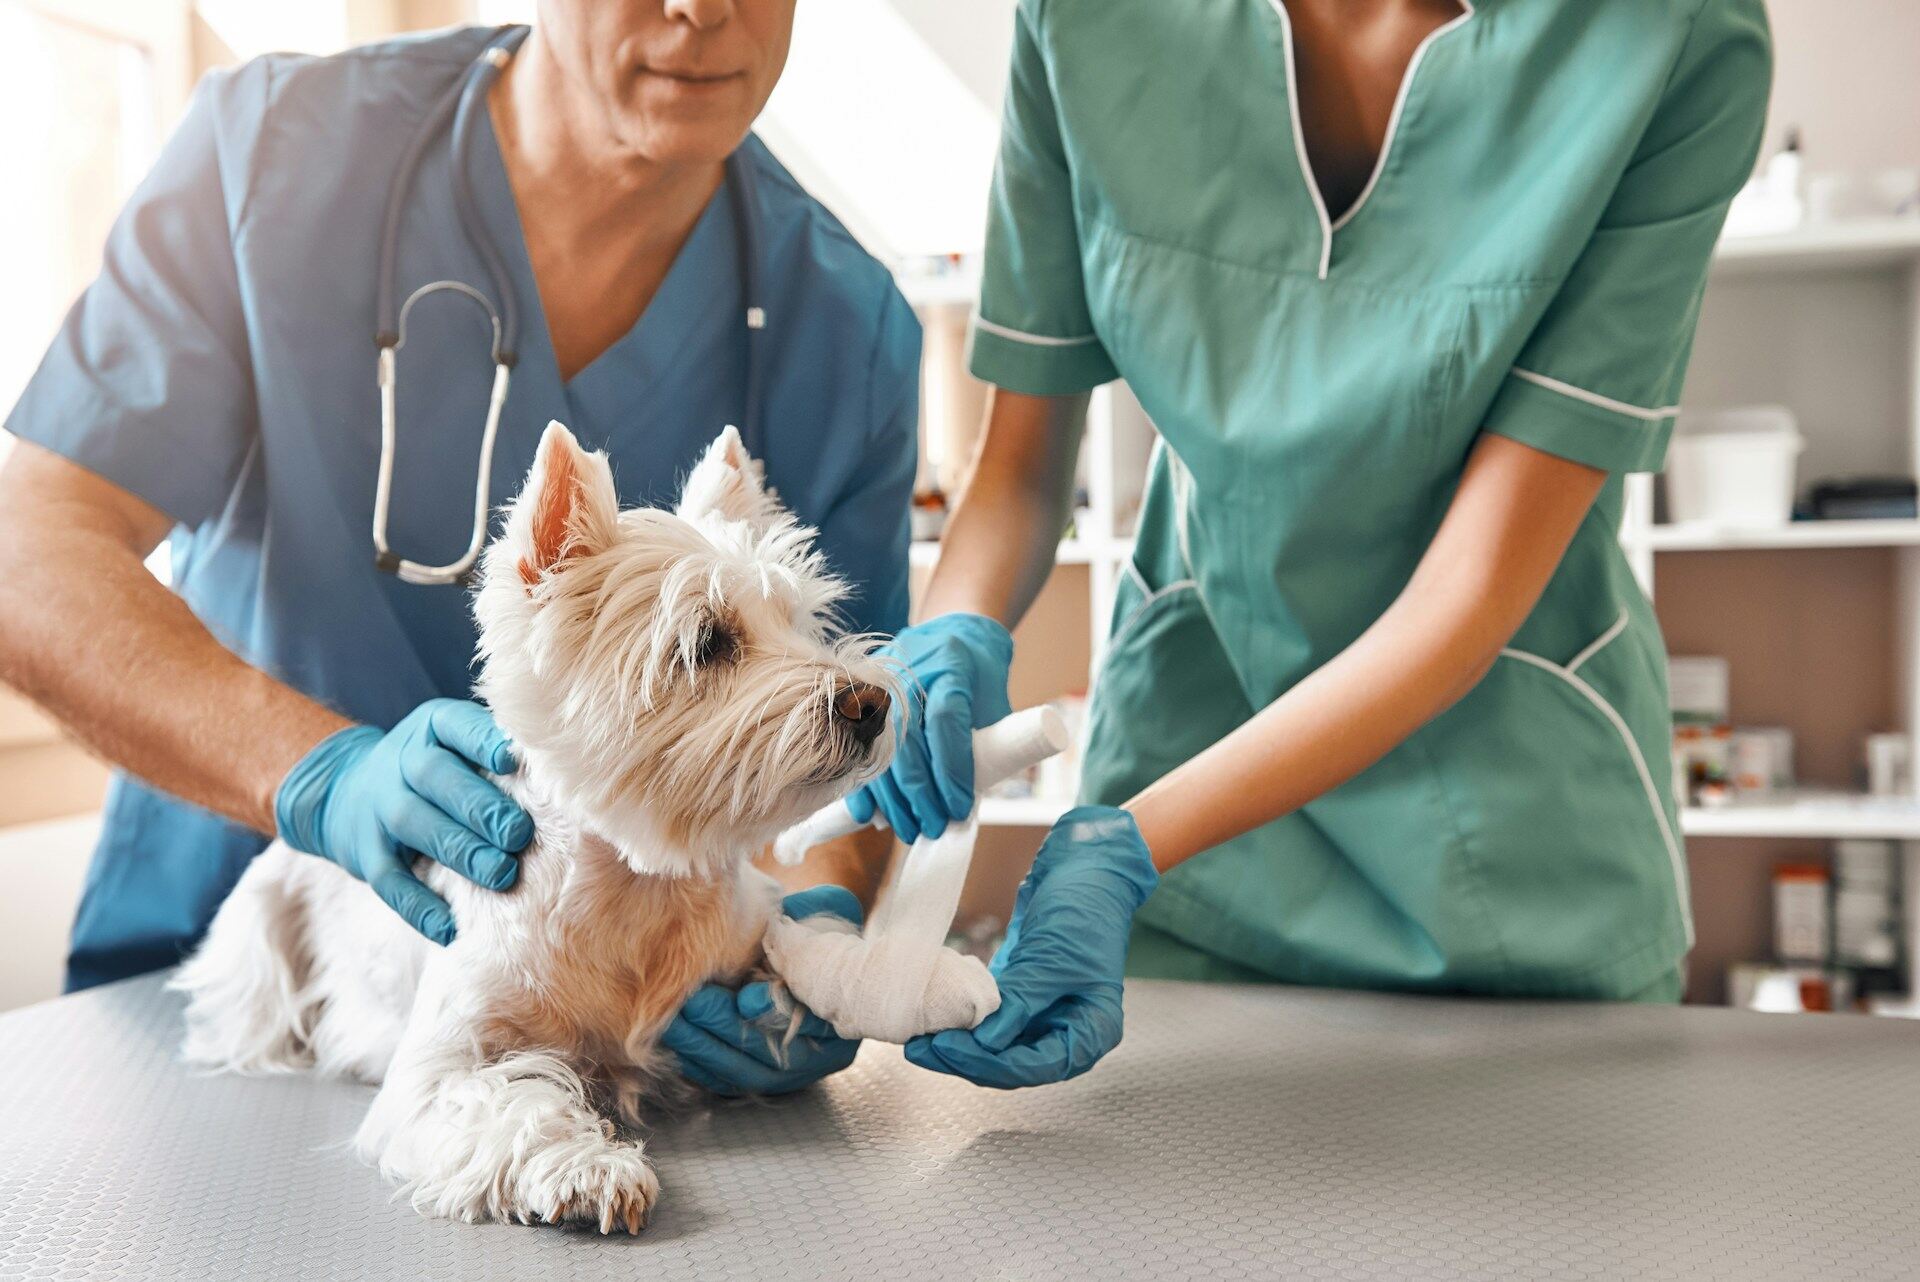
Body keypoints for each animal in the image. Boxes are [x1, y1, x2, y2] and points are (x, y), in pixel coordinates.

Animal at [172, 422, 890, 1228]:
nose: (871, 704)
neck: (637, 893)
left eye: (801, 623)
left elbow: (802, 950)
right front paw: (592, 1169)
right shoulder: (438, 1071)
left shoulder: (747, 928)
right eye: (707, 643)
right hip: (260, 940)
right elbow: (512, 1106)